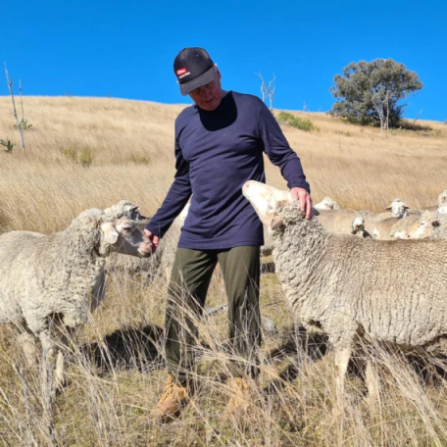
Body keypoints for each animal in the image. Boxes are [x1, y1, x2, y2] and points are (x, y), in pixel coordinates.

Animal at [0, 201, 152, 390]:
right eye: (127, 227)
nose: (150, 246)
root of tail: (8, 233)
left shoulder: (74, 315)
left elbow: (64, 348)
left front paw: (59, 379)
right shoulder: (41, 317)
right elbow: (50, 352)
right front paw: (47, 386)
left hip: (17, 312)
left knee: (24, 336)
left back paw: (32, 364)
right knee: (24, 337)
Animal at [243, 182, 447, 400]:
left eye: (279, 200)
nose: (247, 184)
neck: (320, 259)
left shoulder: (341, 327)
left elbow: (338, 374)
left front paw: (339, 408)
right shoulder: (362, 334)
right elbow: (370, 373)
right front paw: (374, 403)